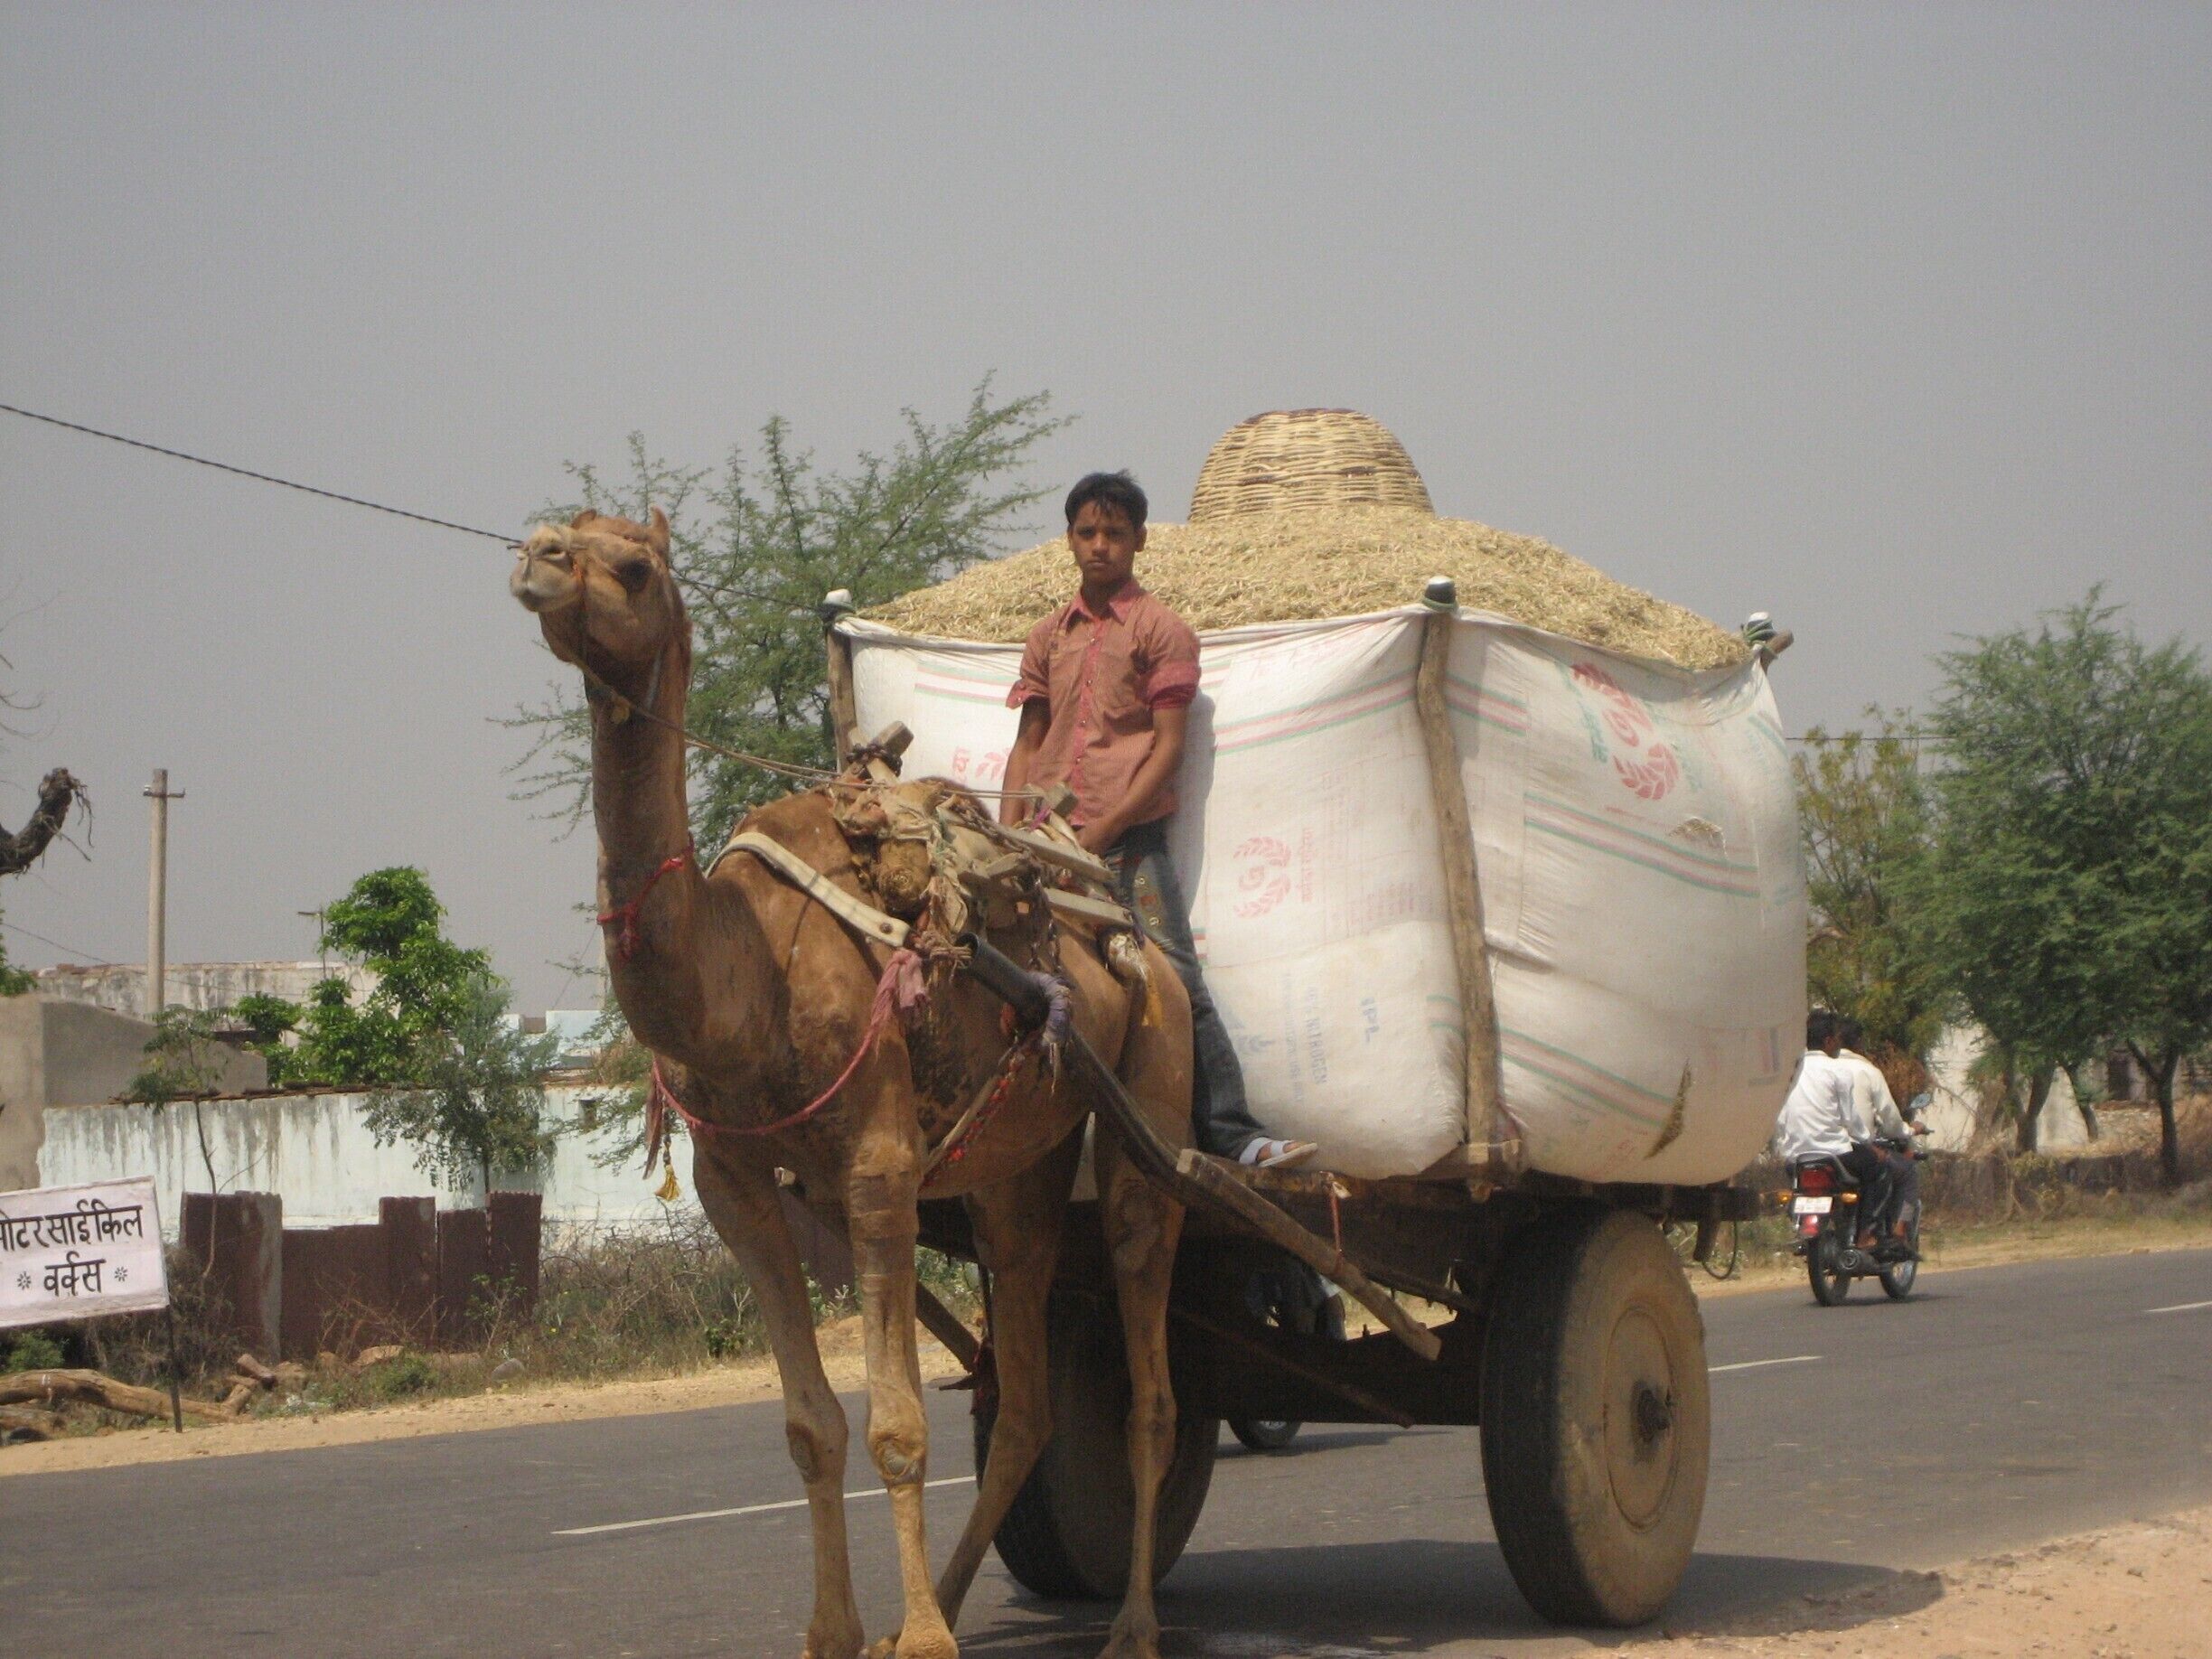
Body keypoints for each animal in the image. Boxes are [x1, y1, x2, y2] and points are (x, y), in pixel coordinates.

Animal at [511, 509, 1193, 1659]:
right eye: (551, 529)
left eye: (634, 565)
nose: (538, 560)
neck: (745, 977)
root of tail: (1146, 946)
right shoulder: (736, 1186)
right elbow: (811, 1425)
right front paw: (840, 1633)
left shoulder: (879, 1169)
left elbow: (897, 1427)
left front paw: (916, 1641)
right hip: (1017, 1170)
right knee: (1029, 1400)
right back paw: (960, 1597)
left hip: (1151, 1110)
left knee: (1151, 1388)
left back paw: (1134, 1627)